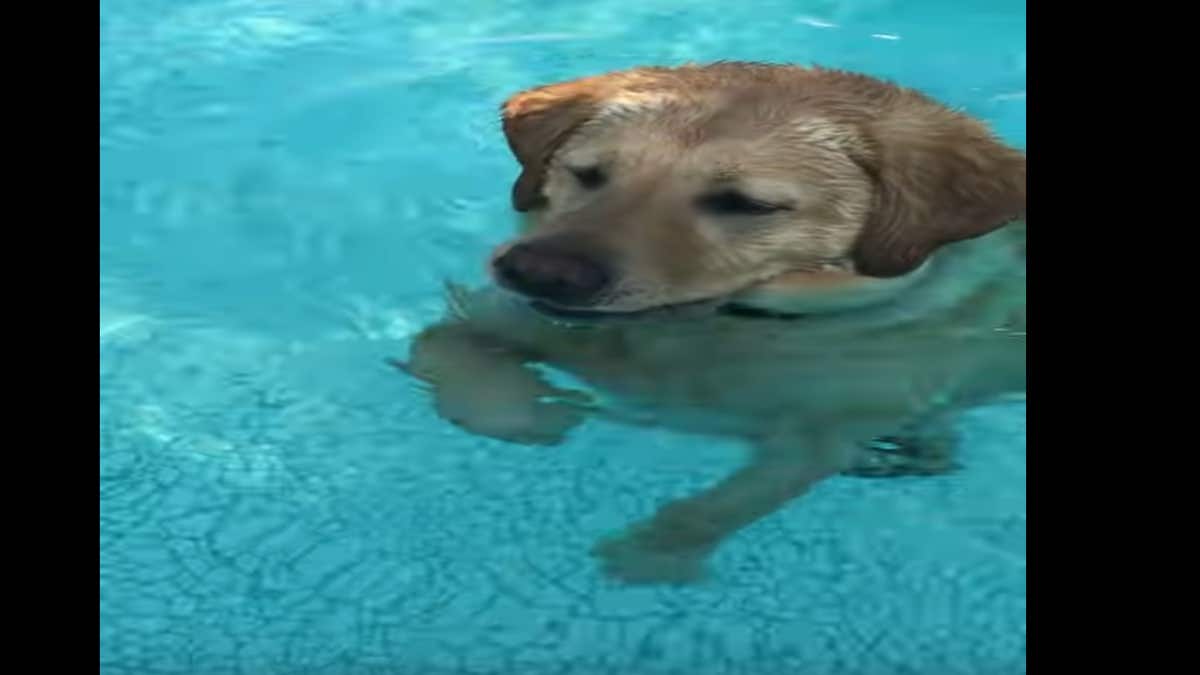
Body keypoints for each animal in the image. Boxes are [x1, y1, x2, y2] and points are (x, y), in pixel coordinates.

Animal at [396, 60, 1022, 581]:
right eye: (586, 173)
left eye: (745, 204)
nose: (537, 271)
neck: (713, 325)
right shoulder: (489, 314)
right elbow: (449, 357)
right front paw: (534, 413)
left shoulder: (823, 435)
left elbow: (724, 506)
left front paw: (652, 554)